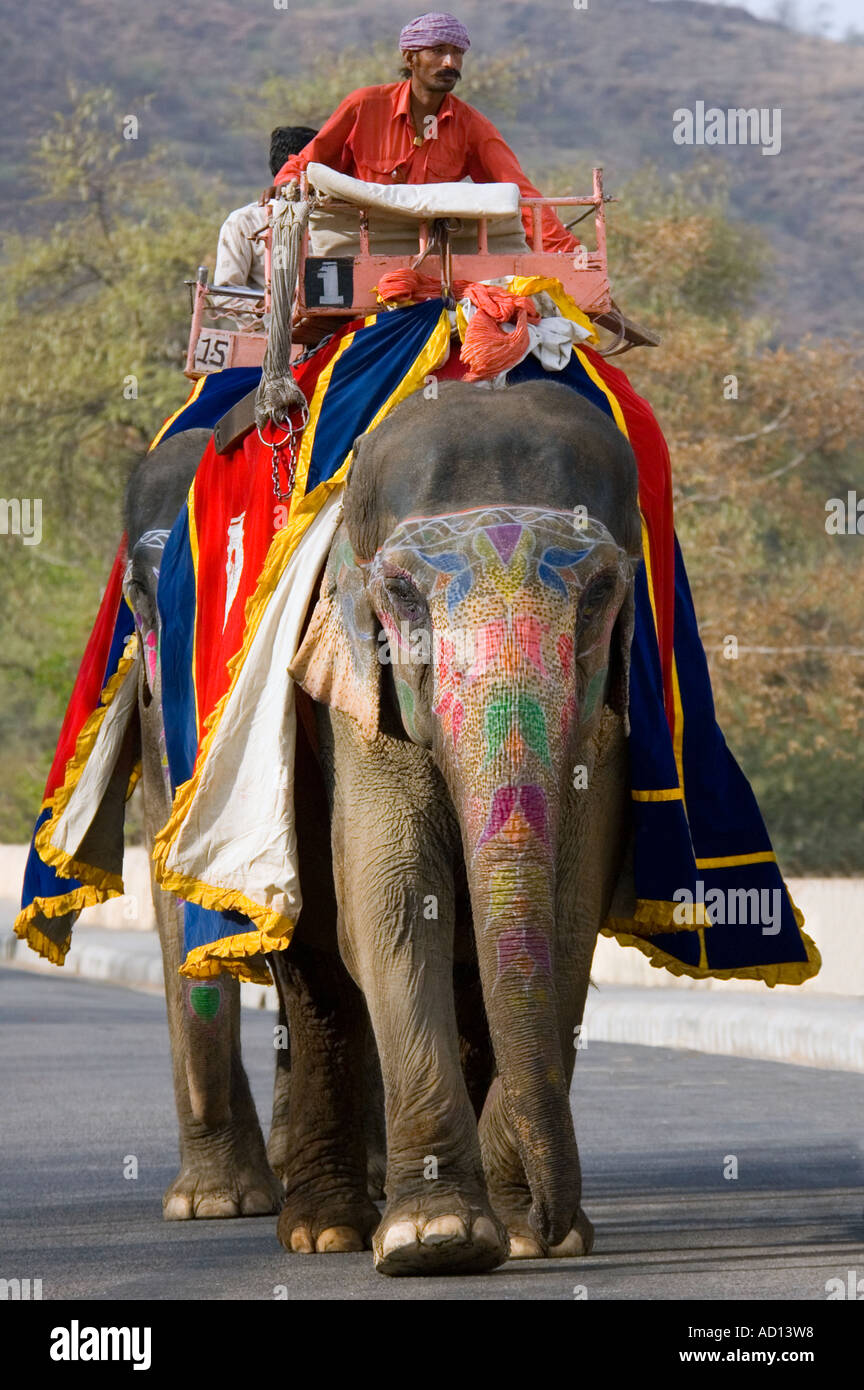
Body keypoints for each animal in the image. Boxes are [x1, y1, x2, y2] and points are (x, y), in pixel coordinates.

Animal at [127, 375, 644, 1273]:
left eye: (598, 599)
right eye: (401, 595)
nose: (552, 1225)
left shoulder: (607, 713)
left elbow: (568, 915)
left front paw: (517, 1234)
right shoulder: (348, 691)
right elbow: (393, 899)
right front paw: (434, 1240)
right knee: (317, 969)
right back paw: (315, 1226)